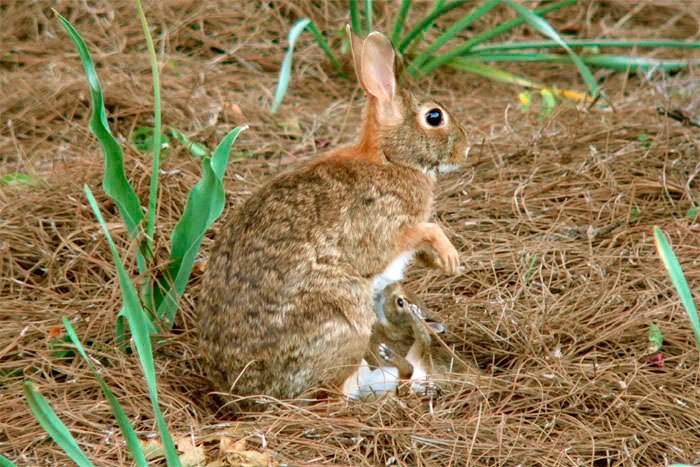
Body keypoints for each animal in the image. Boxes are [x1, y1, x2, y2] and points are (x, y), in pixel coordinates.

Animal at [198, 27, 470, 407]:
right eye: (434, 117)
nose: (466, 147)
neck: (389, 159)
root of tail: (240, 393)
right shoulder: (381, 224)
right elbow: (419, 232)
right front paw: (449, 256)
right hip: (346, 319)